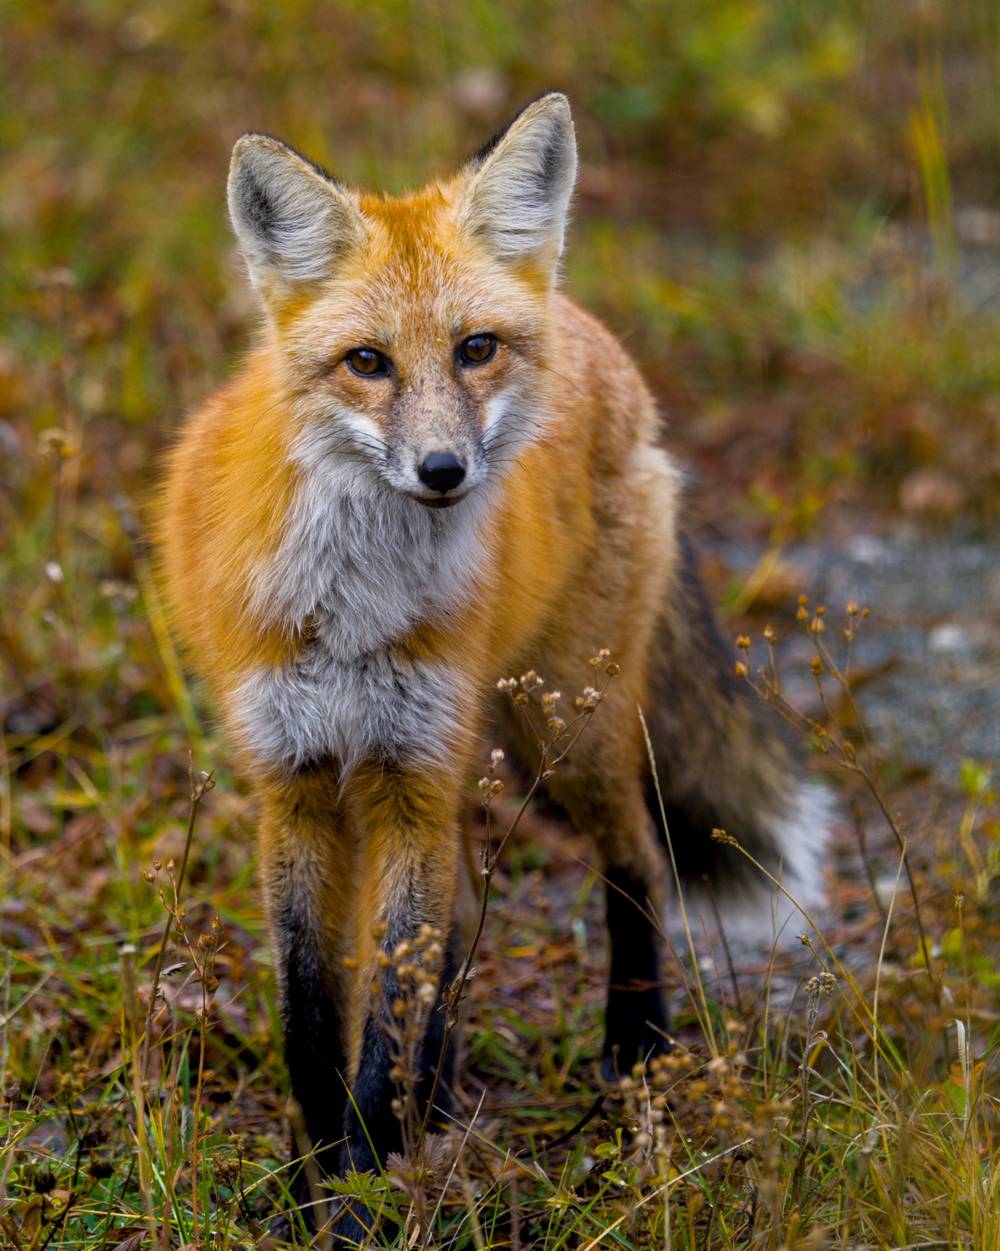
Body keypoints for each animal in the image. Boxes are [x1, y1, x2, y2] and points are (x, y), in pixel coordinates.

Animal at [156, 93, 827, 1241]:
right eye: (367, 362)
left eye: (474, 349)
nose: (442, 471)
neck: (357, 609)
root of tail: (597, 337)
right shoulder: (295, 784)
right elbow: (313, 1011)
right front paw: (318, 1177)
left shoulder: (410, 782)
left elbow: (386, 1013)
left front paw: (363, 1191)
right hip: (480, 747)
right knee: (465, 919)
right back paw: (440, 1097)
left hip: (562, 732)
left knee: (635, 860)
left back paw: (633, 1053)